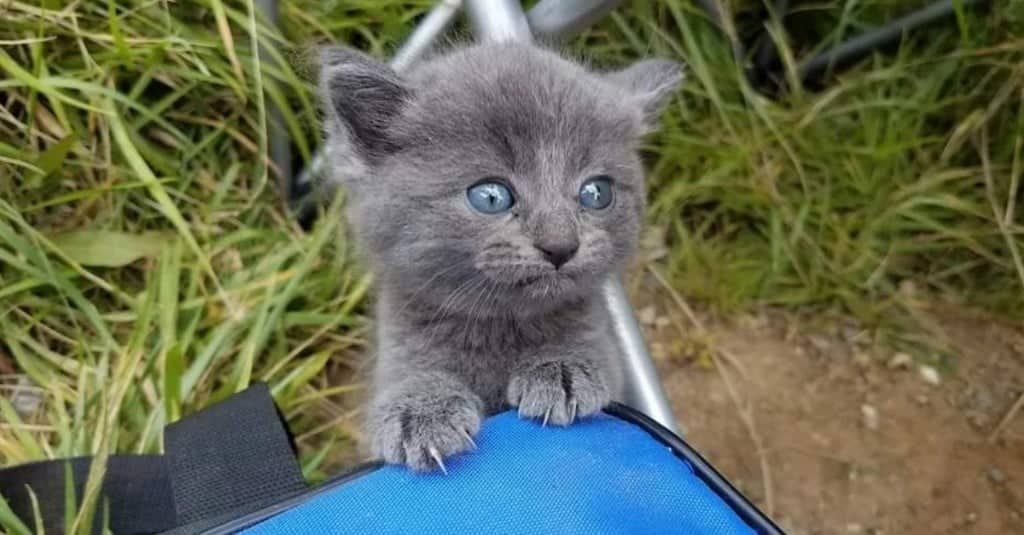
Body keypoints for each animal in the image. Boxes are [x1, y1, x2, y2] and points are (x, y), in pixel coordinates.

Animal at [317, 43, 688, 469]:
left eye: (597, 193)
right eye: (490, 196)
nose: (561, 245)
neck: (498, 329)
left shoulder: (602, 337)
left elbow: (596, 353)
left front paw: (561, 366)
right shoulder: (399, 341)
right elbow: (408, 373)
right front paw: (420, 409)